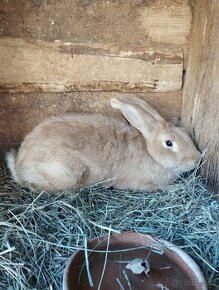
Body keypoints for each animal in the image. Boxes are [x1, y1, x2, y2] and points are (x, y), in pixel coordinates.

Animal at [5, 95, 201, 193]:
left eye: (185, 133)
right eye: (169, 143)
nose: (197, 159)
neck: (151, 153)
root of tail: (19, 166)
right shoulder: (140, 183)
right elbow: (157, 187)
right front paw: (176, 187)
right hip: (65, 172)